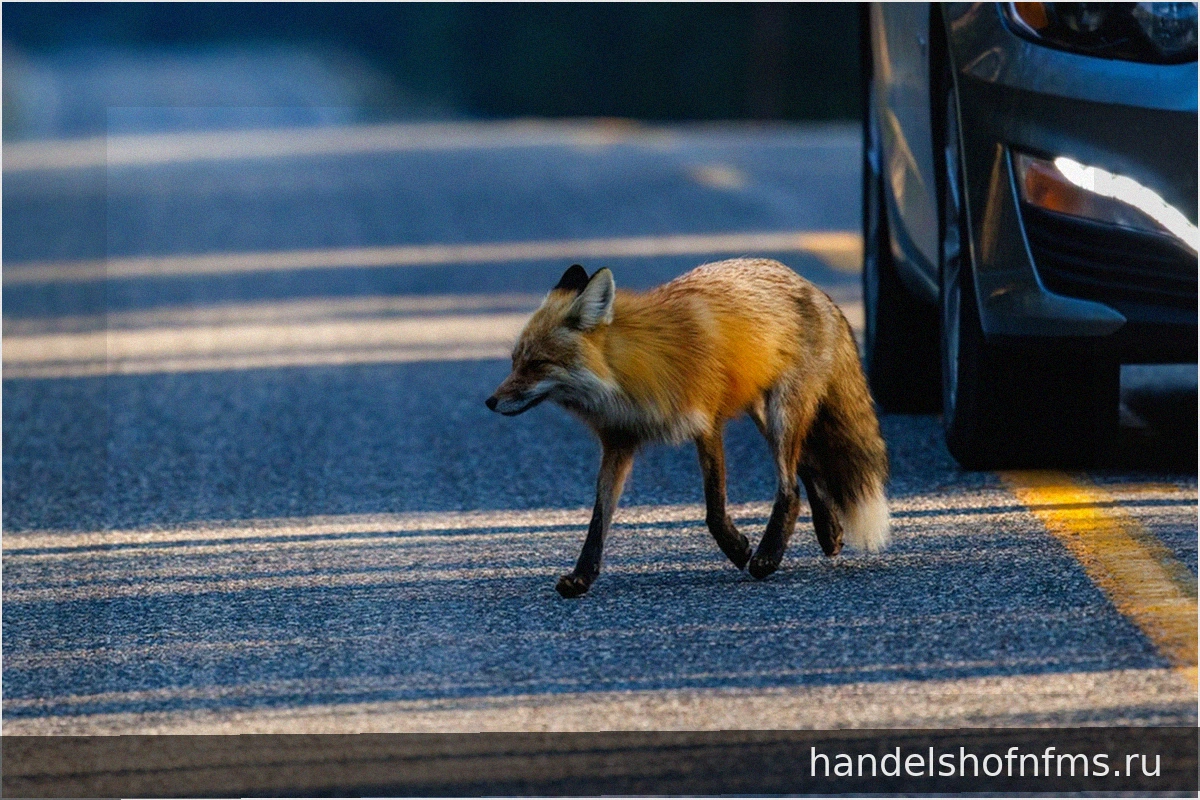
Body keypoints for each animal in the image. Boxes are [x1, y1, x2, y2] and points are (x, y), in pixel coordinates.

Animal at [486, 258, 890, 598]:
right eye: (515, 362)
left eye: (537, 364)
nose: (490, 402)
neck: (627, 377)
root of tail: (811, 287)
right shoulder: (618, 443)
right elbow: (598, 521)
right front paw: (582, 577)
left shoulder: (707, 423)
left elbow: (713, 508)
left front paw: (738, 549)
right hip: (764, 414)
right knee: (808, 467)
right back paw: (829, 533)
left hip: (782, 412)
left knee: (789, 487)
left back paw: (767, 557)